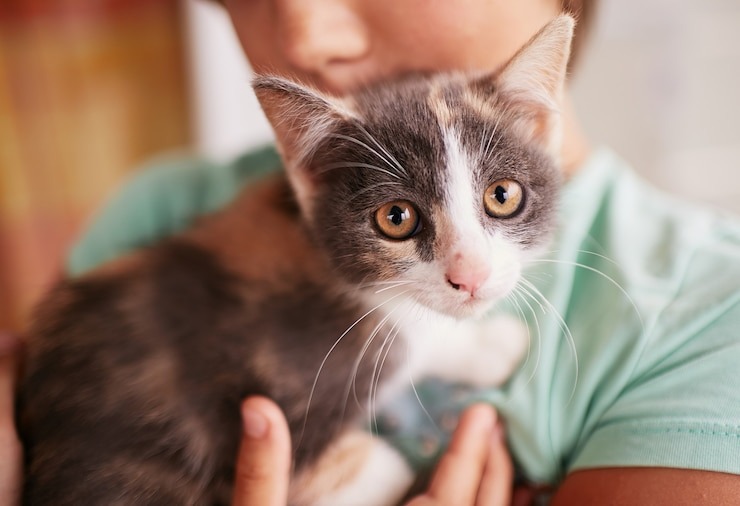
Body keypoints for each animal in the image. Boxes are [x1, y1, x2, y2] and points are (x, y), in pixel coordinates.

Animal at [17, 15, 572, 506]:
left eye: (502, 195)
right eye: (396, 218)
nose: (470, 275)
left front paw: (483, 343)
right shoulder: (279, 413)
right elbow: (377, 468)